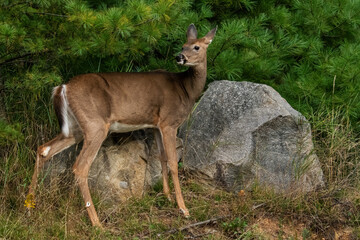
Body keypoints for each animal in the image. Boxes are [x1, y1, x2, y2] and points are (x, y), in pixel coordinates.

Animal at [26, 23, 217, 227]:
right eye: (183, 46)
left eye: (196, 47)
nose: (179, 57)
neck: (186, 89)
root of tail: (62, 88)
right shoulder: (169, 122)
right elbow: (173, 162)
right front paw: (183, 208)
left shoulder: (156, 125)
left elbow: (162, 157)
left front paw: (167, 197)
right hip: (95, 125)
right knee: (80, 167)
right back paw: (97, 224)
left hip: (75, 128)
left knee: (43, 149)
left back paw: (29, 206)